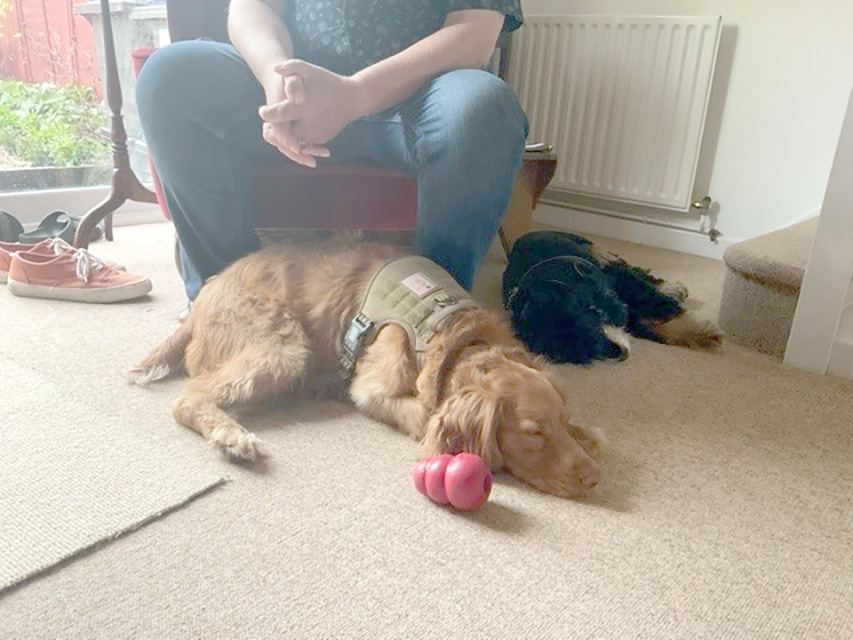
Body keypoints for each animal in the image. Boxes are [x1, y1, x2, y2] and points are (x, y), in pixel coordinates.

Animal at [128, 240, 600, 500]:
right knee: (189, 398)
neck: (454, 332)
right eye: (532, 434)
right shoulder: (375, 388)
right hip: (282, 345)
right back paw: (232, 436)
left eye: (562, 422)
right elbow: (425, 415)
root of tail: (200, 301)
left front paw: (591, 434)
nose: (594, 477)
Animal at [502, 230, 724, 362]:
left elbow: (658, 305)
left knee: (634, 268)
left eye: (593, 322)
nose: (619, 353)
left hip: (598, 253)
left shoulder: (619, 283)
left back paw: (675, 288)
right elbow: (652, 325)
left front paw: (705, 334)